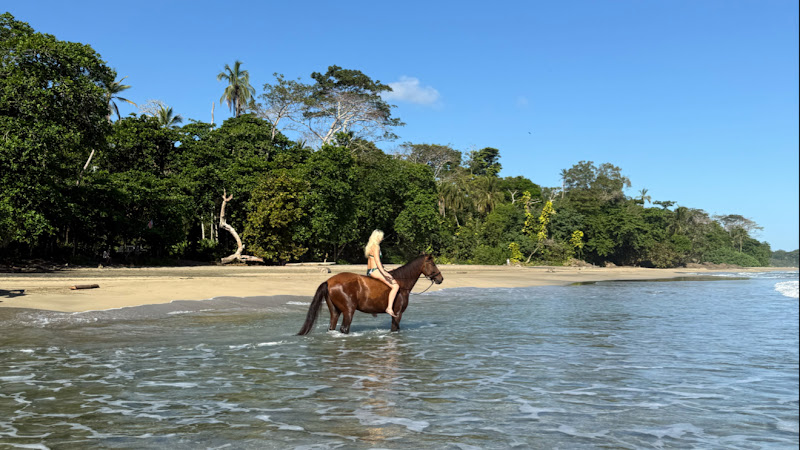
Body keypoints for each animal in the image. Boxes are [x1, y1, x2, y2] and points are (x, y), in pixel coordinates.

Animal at [297, 254, 443, 335]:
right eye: (433, 263)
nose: (440, 278)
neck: (401, 283)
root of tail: (329, 281)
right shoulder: (397, 313)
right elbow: (394, 329)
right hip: (348, 311)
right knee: (344, 328)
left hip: (335, 311)